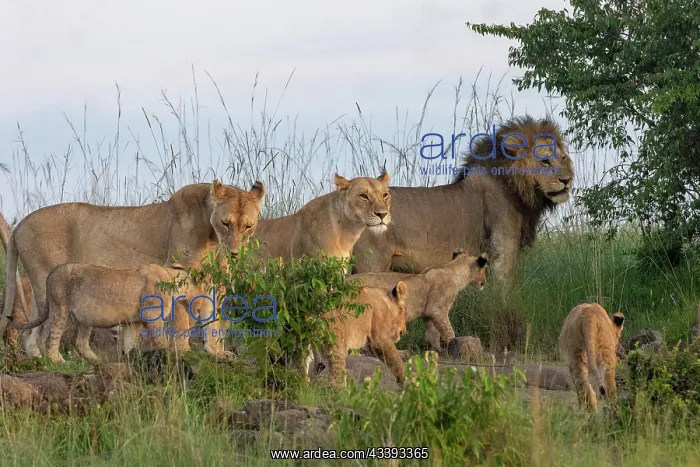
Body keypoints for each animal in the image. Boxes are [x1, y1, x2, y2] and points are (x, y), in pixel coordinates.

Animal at [11, 263, 230, 363]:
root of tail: (53, 272)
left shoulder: (133, 322)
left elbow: (130, 342)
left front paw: (131, 357)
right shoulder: (152, 315)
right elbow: (160, 339)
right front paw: (167, 354)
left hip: (84, 317)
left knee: (77, 341)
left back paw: (97, 361)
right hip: (60, 308)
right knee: (49, 336)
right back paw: (57, 361)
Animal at [350, 248, 487, 352]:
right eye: (484, 270)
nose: (484, 282)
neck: (453, 271)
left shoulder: (428, 314)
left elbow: (432, 333)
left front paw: (437, 350)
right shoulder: (437, 310)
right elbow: (448, 330)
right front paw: (453, 345)